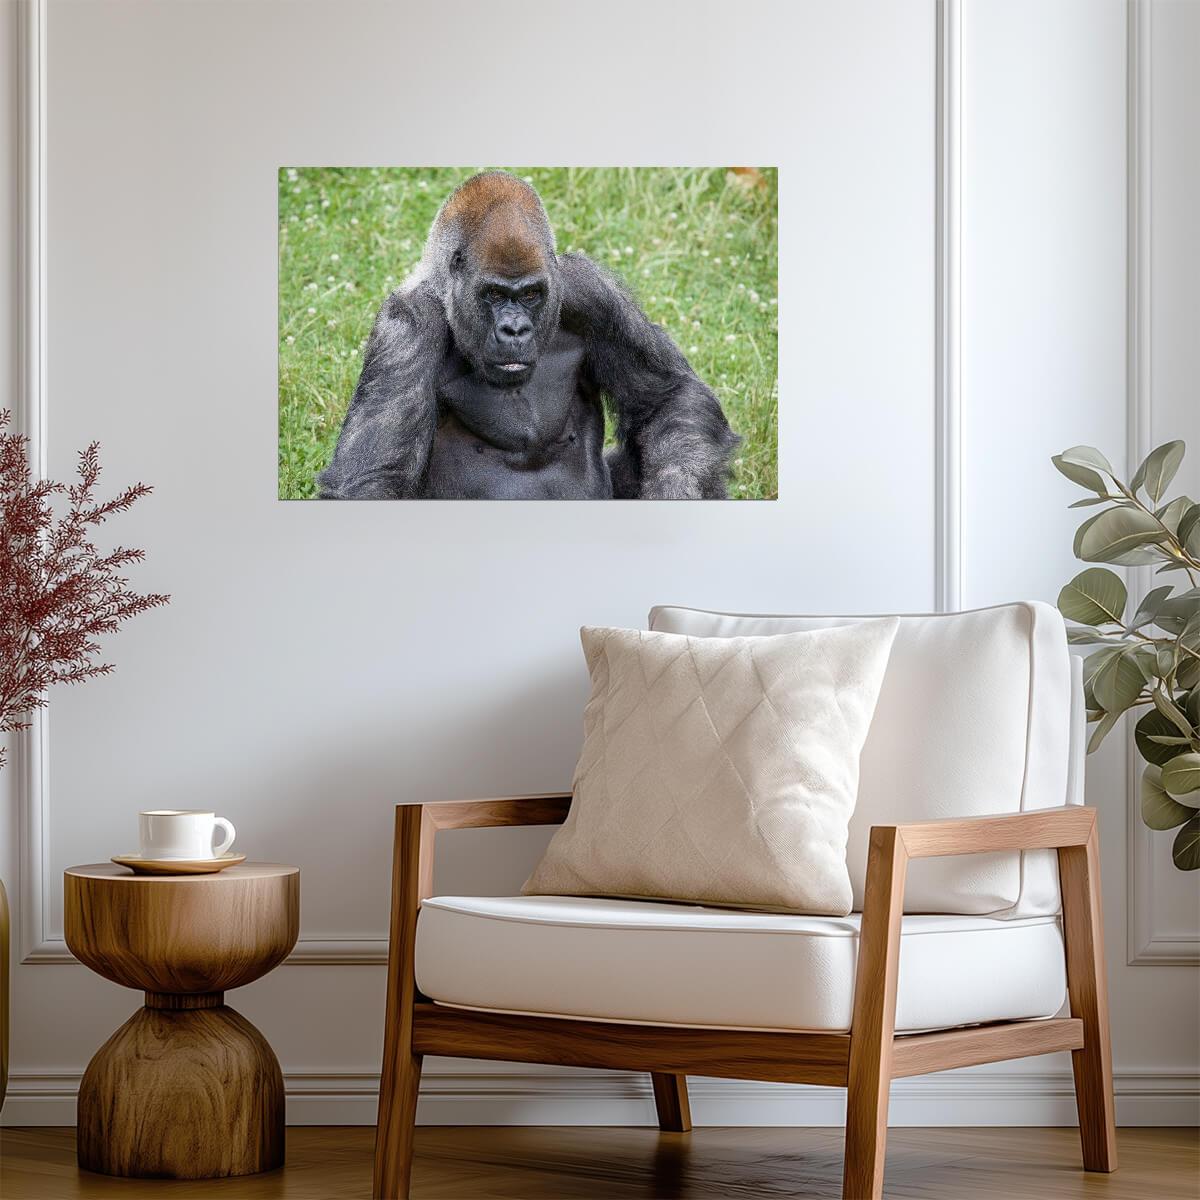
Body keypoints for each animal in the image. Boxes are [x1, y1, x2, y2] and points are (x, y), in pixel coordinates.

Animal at [317, 172, 739, 500]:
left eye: (532, 294)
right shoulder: (408, 327)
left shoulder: (591, 292)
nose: (515, 329)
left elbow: (669, 398)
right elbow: (373, 477)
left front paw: (676, 491)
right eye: (494, 294)